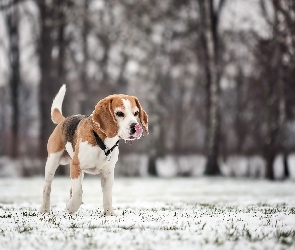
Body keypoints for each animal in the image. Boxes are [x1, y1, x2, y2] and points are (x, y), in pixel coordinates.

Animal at [40, 85, 148, 215]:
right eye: (119, 113)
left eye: (136, 113)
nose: (135, 127)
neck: (102, 142)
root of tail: (64, 120)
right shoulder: (76, 165)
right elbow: (78, 193)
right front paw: (71, 207)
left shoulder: (108, 172)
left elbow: (107, 196)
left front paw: (109, 213)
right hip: (53, 161)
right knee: (47, 187)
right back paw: (44, 209)